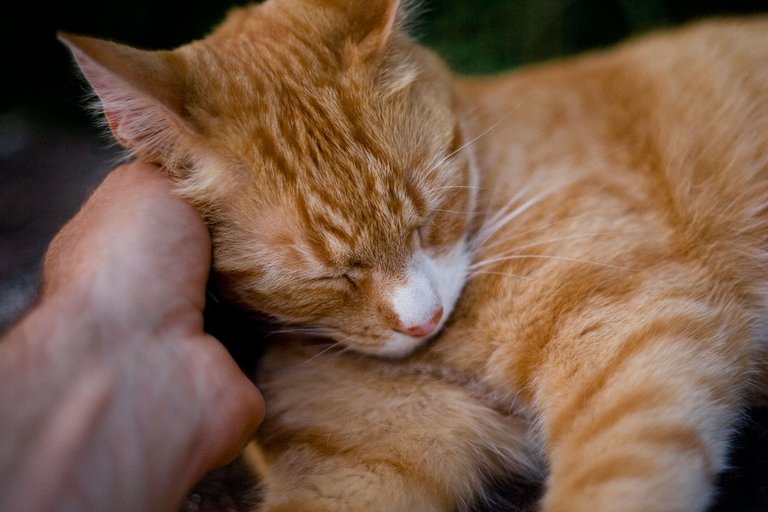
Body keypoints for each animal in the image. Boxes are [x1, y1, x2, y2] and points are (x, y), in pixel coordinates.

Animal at [61, 0, 768, 510]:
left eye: (429, 219)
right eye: (327, 276)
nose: (422, 321)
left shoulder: (636, 327)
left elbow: (618, 477)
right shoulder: (353, 466)